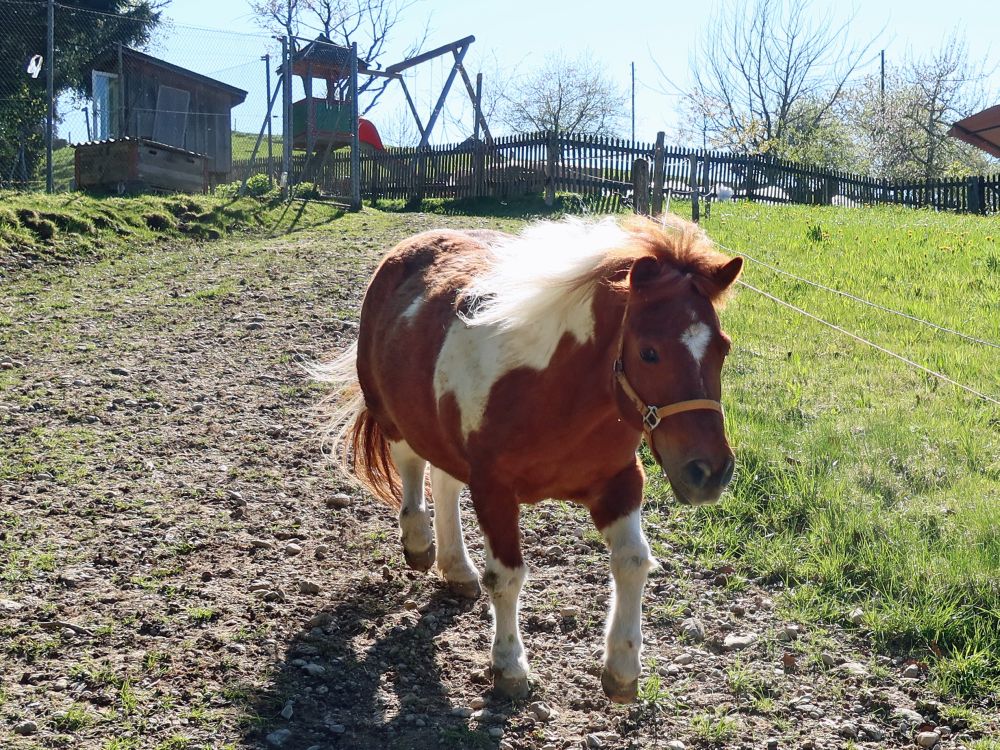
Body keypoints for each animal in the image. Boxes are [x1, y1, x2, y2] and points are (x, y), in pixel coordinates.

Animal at [314, 216, 744, 704]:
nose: (709, 471)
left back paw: (457, 568)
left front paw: (622, 667)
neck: (556, 395)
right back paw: (420, 543)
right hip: (394, 414)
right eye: (649, 351)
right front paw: (509, 665)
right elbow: (507, 576)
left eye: (723, 348)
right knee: (412, 465)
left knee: (444, 482)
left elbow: (633, 561)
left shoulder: (619, 482)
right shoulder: (495, 491)